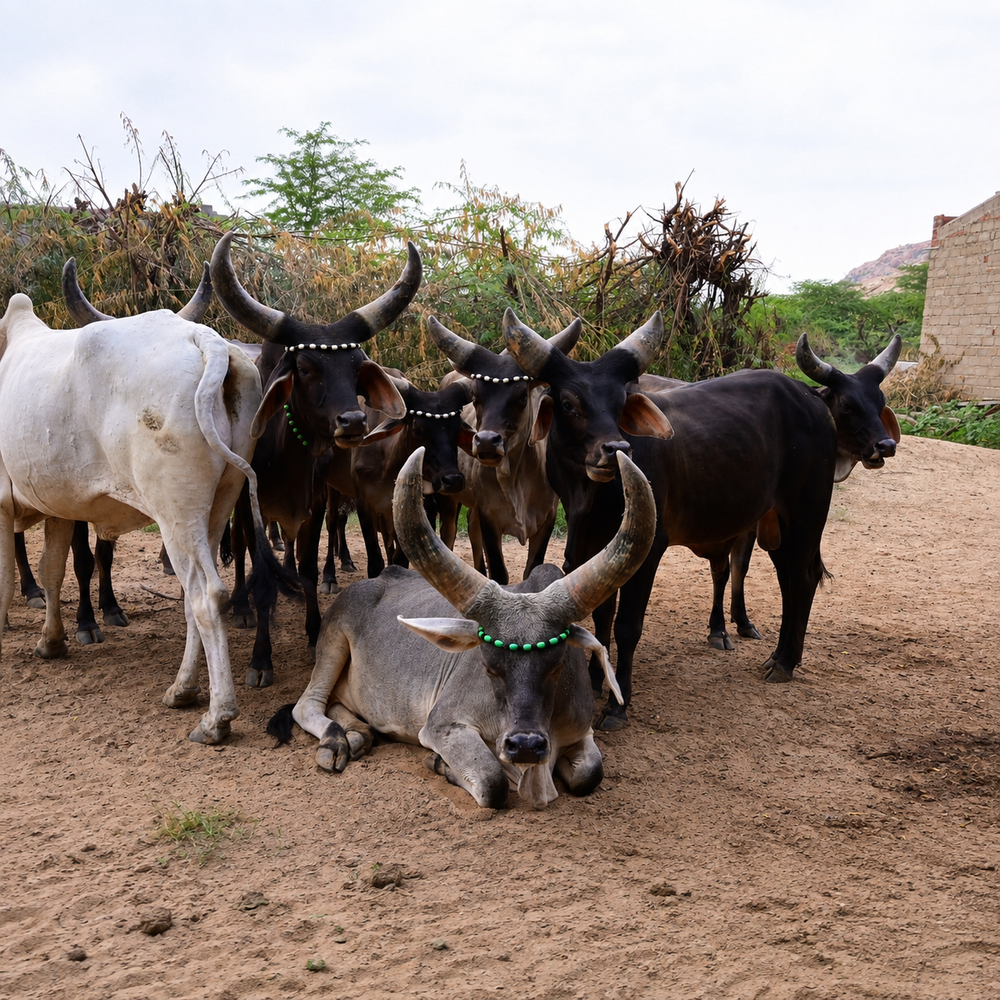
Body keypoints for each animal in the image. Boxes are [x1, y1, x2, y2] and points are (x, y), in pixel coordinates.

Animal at [0, 288, 271, 744]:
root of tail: (204, 339)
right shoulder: (59, 507)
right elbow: (52, 568)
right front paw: (52, 642)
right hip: (218, 503)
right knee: (194, 594)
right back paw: (182, 689)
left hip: (174, 511)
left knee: (206, 596)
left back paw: (216, 716)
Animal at [210, 232, 416, 688]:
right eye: (304, 368)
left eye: (356, 367)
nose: (353, 421)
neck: (285, 454)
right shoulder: (252, 506)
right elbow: (261, 574)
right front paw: (261, 658)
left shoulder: (315, 503)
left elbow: (305, 567)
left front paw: (312, 634)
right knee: (238, 547)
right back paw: (241, 608)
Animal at [267, 445, 656, 808]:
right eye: (488, 666)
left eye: (558, 665)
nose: (525, 746)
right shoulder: (444, 725)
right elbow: (493, 782)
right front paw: (441, 764)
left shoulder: (580, 732)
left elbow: (590, 774)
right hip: (331, 643)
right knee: (307, 704)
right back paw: (335, 742)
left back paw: (358, 734)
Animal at [502, 308, 901, 729]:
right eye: (568, 404)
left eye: (620, 403)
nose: (615, 449)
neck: (592, 498)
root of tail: (807, 397)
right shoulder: (593, 548)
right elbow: (602, 615)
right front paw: (598, 678)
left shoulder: (647, 550)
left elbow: (627, 626)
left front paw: (617, 704)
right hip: (775, 523)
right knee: (788, 578)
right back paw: (779, 656)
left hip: (806, 514)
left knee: (803, 578)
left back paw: (785, 662)